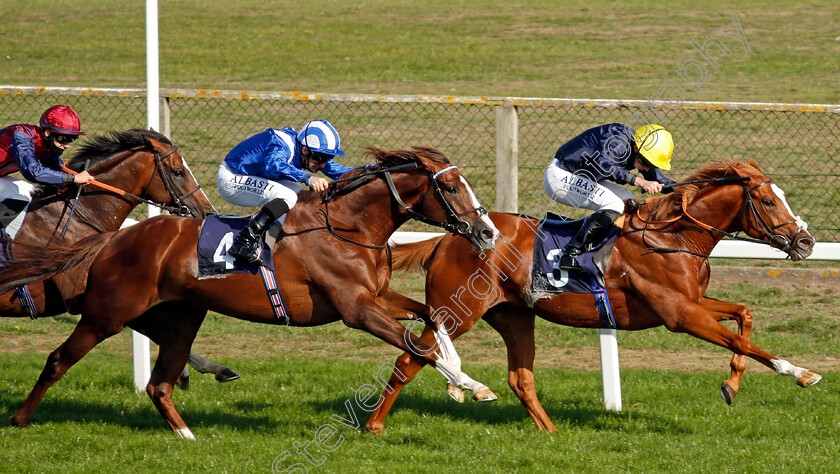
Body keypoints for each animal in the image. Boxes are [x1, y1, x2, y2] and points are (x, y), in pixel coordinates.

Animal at [364, 159, 816, 434]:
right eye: (768, 200)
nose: (806, 242)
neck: (673, 238)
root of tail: (448, 237)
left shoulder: (689, 304)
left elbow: (744, 316)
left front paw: (731, 384)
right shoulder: (679, 315)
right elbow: (743, 339)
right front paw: (799, 371)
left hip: (513, 315)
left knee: (520, 378)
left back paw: (547, 430)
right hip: (456, 313)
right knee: (409, 360)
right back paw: (378, 424)